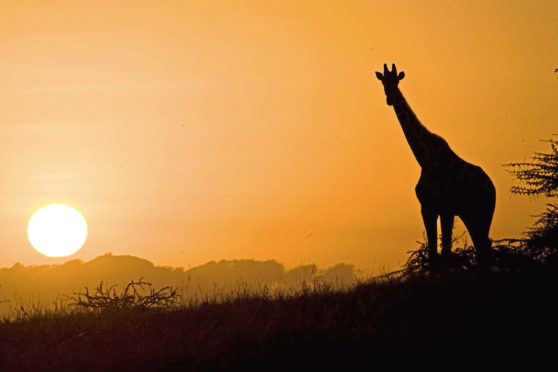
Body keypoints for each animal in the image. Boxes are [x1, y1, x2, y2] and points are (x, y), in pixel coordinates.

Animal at [376, 63, 498, 268]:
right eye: (383, 82)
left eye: (397, 81)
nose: (389, 99)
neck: (425, 160)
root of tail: (492, 186)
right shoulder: (428, 208)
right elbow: (434, 253)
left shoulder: (446, 208)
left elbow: (444, 252)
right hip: (470, 215)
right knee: (483, 246)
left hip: (483, 211)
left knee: (484, 246)